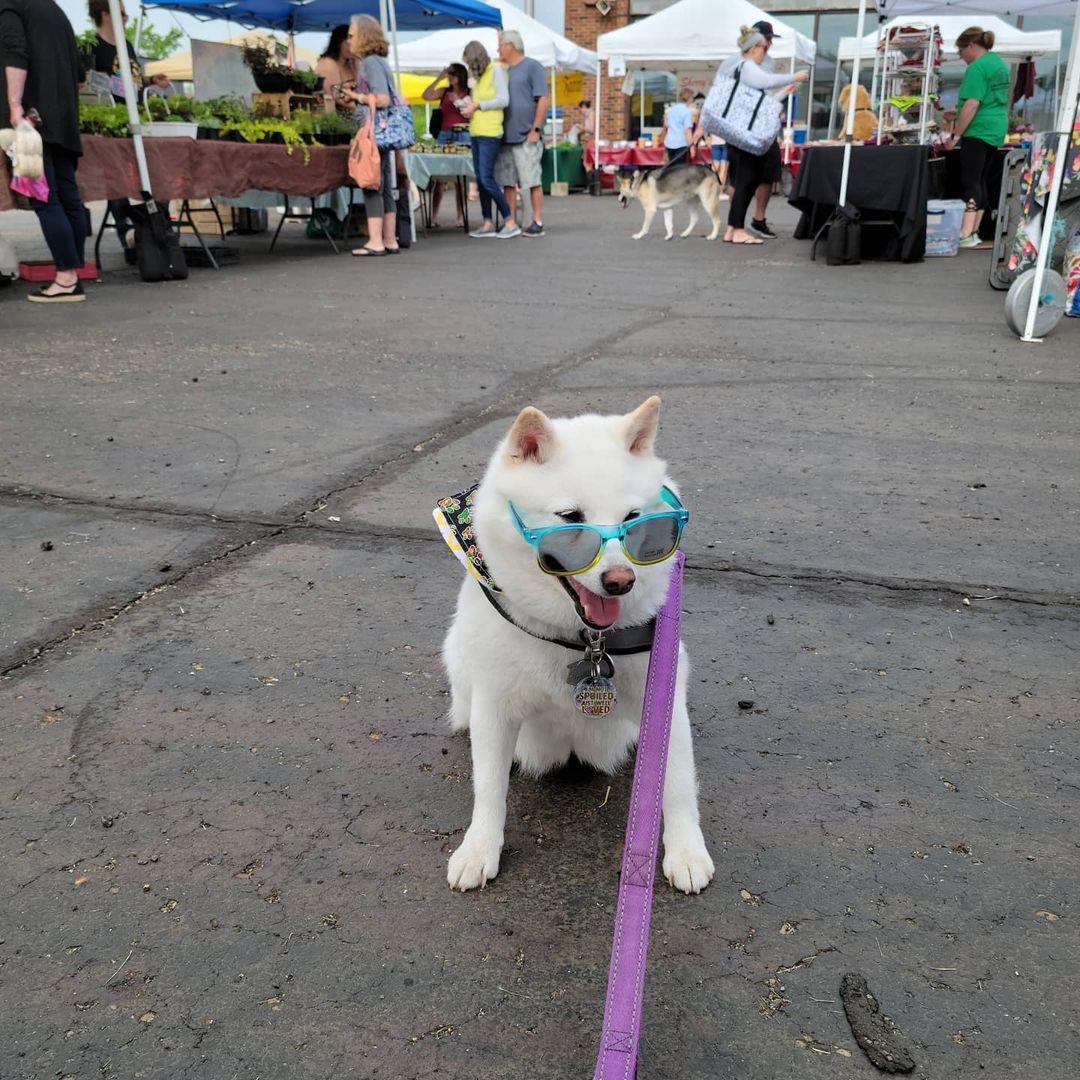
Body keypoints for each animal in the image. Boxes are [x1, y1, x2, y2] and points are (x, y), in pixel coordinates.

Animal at [434, 397, 712, 894]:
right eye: (570, 519)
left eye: (632, 519)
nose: (621, 581)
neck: (583, 640)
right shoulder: (494, 707)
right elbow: (488, 789)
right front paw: (479, 848)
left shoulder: (664, 695)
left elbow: (677, 783)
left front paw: (685, 850)